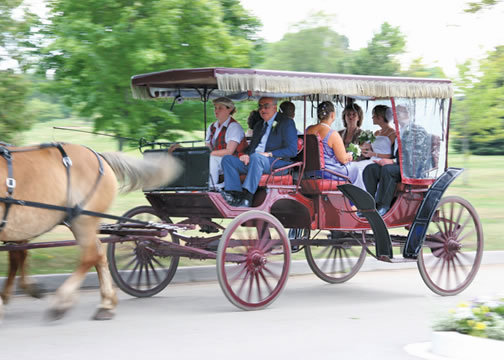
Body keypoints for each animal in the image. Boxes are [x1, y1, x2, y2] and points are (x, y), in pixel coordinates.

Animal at [0, 143, 181, 320]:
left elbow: (18, 256)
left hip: (83, 220)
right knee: (98, 254)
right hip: (78, 222)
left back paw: (62, 302)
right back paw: (105, 304)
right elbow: (18, 255)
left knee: (90, 255)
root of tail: (99, 156)